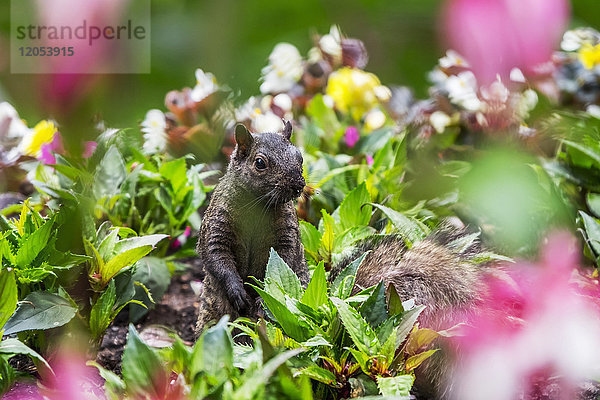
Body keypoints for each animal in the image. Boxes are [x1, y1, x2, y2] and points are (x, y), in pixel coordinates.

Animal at [196, 122, 310, 334]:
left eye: (300, 157)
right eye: (259, 163)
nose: (297, 185)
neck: (257, 204)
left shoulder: (287, 232)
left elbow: (284, 258)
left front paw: (263, 299)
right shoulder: (217, 223)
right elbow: (216, 253)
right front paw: (236, 291)